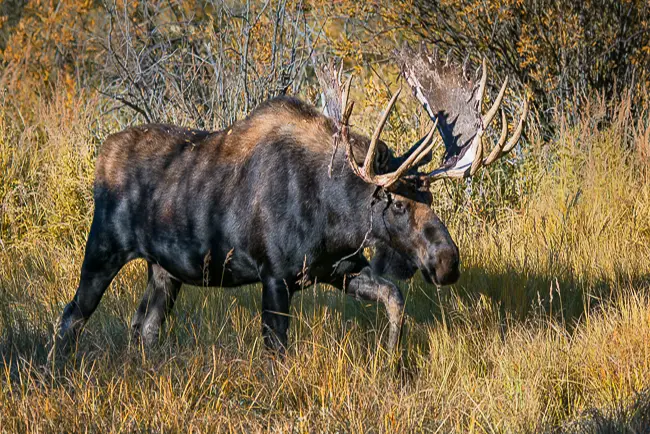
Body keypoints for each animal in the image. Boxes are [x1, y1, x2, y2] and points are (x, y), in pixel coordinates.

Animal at [50, 46, 528, 356]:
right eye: (395, 202)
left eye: (428, 195)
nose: (447, 261)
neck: (335, 219)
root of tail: (102, 154)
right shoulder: (275, 275)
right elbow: (277, 352)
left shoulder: (335, 270)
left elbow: (394, 299)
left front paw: (392, 360)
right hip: (104, 249)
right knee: (70, 317)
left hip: (165, 270)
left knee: (144, 328)